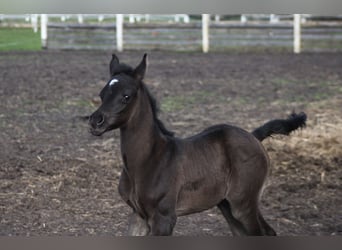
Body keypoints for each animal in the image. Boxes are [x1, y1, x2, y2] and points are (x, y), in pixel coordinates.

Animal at [89, 53, 308, 235]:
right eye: (101, 94)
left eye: (126, 96)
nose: (95, 121)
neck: (149, 159)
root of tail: (253, 136)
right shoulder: (138, 216)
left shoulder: (164, 218)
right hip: (227, 205)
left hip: (243, 204)